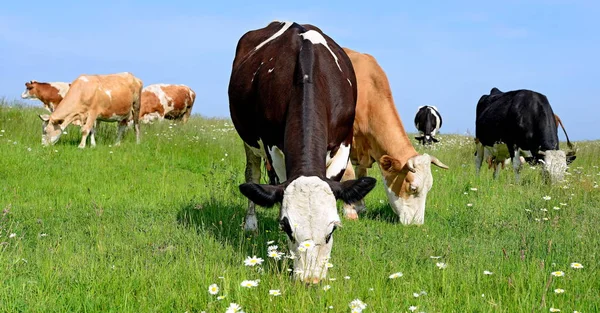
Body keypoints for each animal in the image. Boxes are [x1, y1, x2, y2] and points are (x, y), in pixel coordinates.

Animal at [229, 20, 376, 282]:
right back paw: (251, 224)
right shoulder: (273, 146)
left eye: (332, 230)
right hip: (249, 140)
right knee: (252, 174)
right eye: (287, 228)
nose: (309, 281)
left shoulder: (344, 142)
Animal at [340, 47, 448, 224]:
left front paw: (360, 207)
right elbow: (349, 175)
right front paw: (350, 212)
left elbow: (361, 174)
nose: (417, 224)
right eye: (412, 188)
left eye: (429, 189)